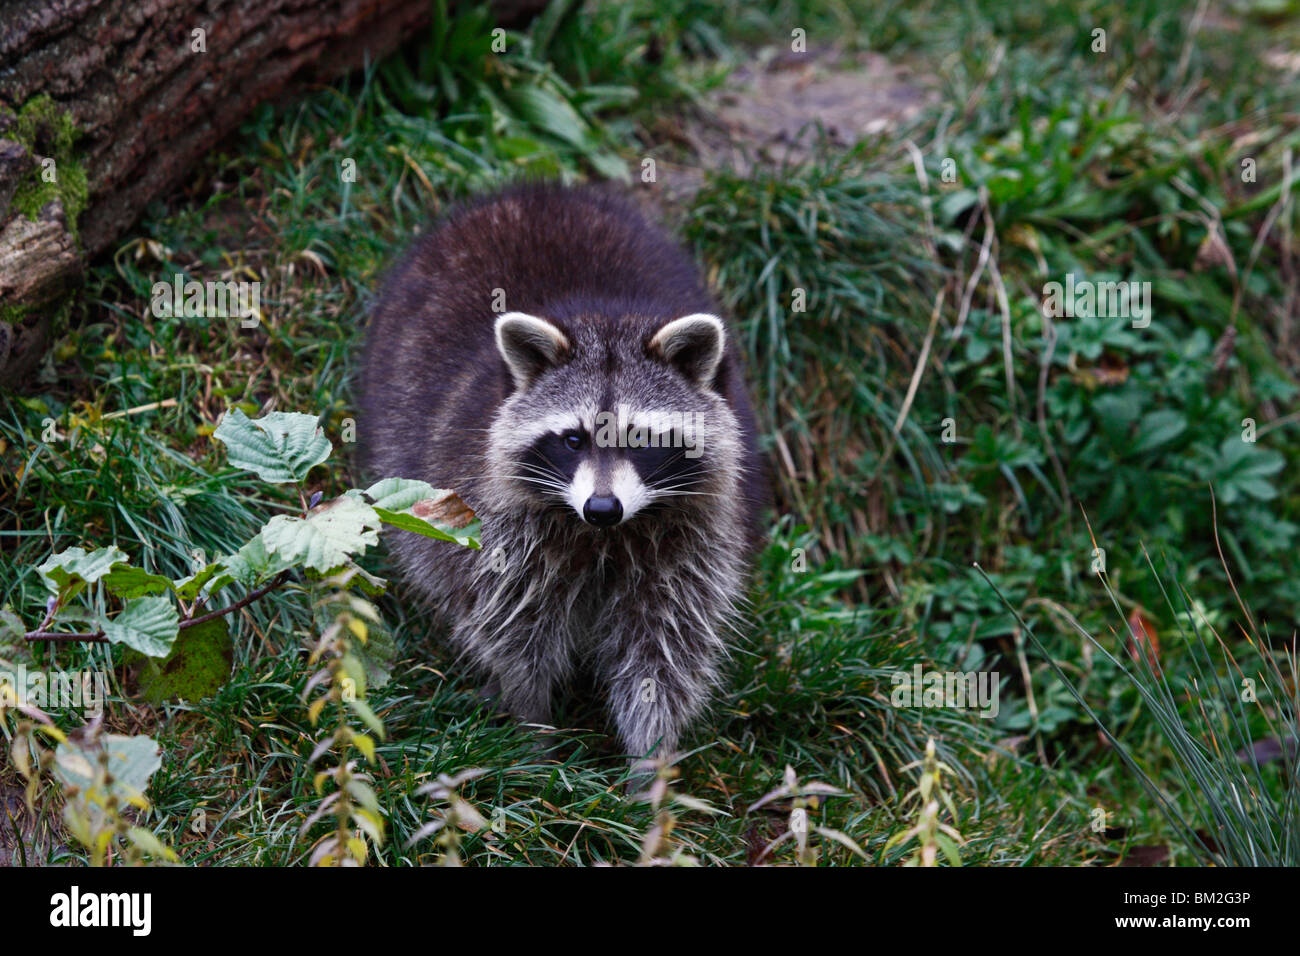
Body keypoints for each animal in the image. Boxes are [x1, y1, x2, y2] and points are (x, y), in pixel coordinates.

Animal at [358, 179, 759, 764]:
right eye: (573, 440)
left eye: (641, 439)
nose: (602, 508)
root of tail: (535, 192)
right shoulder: (500, 533)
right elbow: (513, 629)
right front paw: (534, 731)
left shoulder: (689, 544)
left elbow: (664, 649)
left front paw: (650, 757)